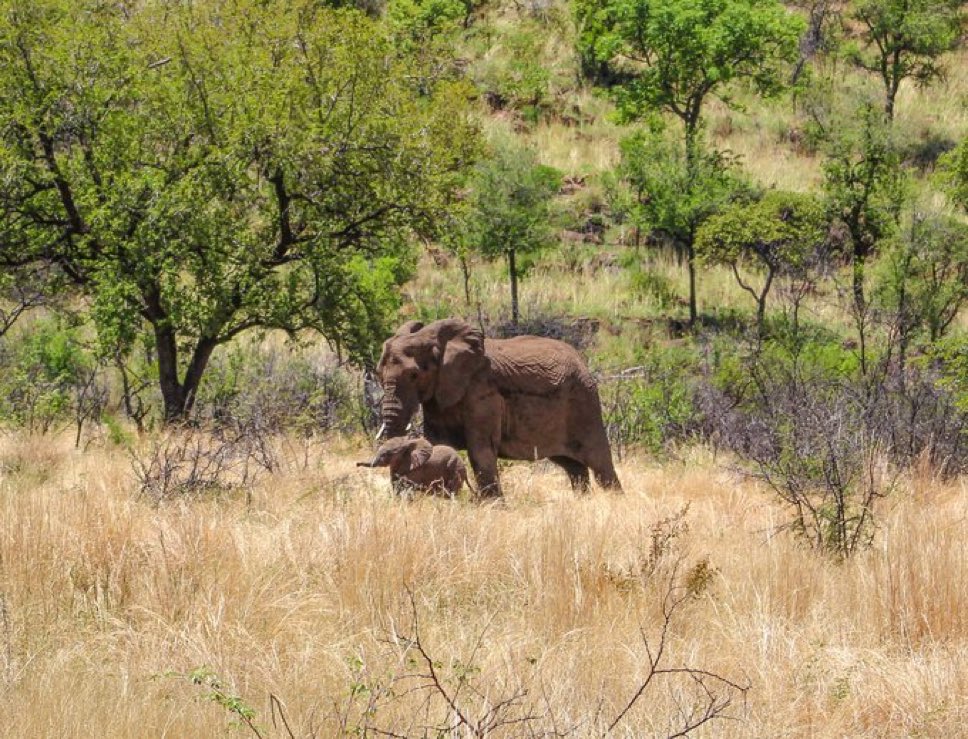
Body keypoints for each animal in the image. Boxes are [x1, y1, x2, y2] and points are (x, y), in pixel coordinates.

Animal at [376, 317, 621, 497]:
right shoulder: (439, 397)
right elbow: (439, 445)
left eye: (414, 375)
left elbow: (480, 448)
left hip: (584, 402)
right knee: (573, 467)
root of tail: (582, 361)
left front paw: (491, 505)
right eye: (378, 374)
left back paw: (614, 500)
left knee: (600, 462)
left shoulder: (483, 393)